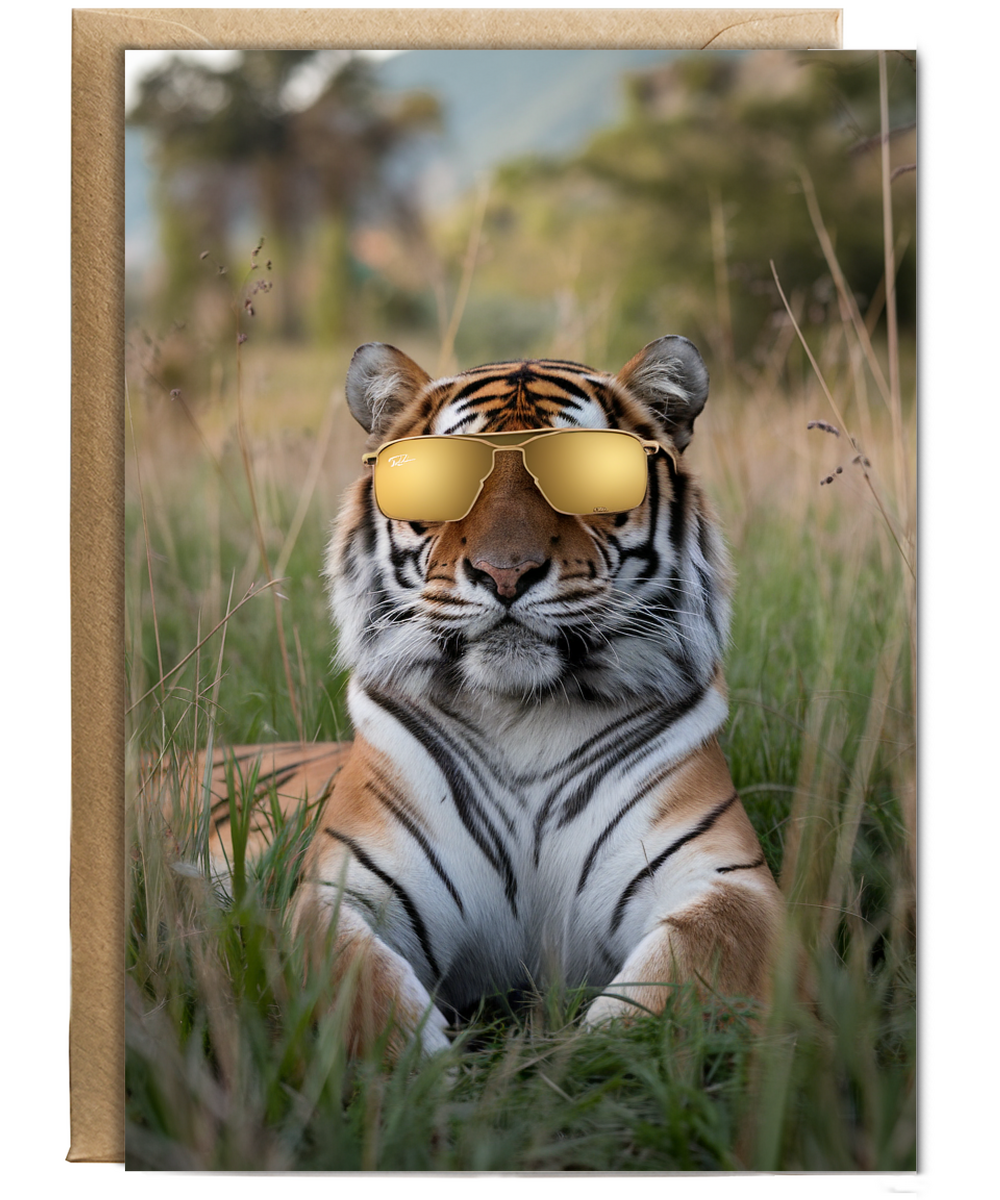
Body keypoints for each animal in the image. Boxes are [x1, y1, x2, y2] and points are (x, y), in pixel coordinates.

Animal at [277, 336, 784, 1056]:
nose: (505, 573)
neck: (523, 715)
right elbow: (365, 1000)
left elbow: (656, 1004)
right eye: (446, 477)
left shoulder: (729, 883)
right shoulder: (339, 892)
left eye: (583, 473)